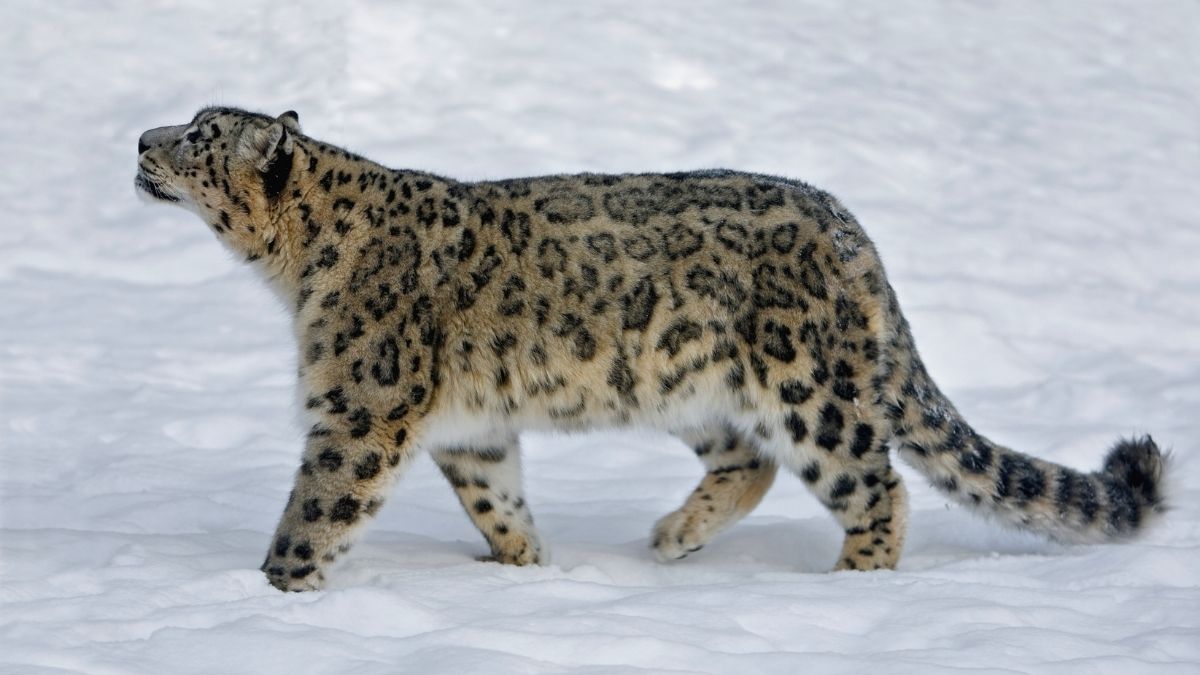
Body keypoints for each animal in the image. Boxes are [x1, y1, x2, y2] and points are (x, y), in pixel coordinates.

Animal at [136, 106, 1168, 592]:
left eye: (199, 136)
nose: (142, 139)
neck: (294, 271)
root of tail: (851, 231)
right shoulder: (469, 429)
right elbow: (495, 496)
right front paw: (525, 565)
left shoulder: (361, 406)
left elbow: (316, 508)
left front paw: (271, 591)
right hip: (691, 384)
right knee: (748, 459)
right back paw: (674, 537)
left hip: (809, 386)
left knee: (875, 482)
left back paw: (852, 586)